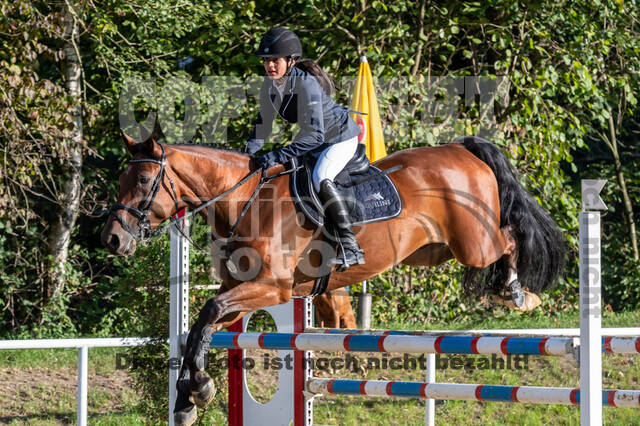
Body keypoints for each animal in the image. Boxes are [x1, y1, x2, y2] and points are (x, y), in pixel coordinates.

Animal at [100, 132, 564, 422]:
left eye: (143, 179)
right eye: (122, 178)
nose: (112, 239)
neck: (246, 200)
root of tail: (461, 148)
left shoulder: (273, 289)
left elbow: (209, 311)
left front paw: (195, 390)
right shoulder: (241, 291)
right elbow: (203, 324)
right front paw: (189, 398)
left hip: (473, 244)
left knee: (509, 237)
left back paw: (518, 293)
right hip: (435, 251)